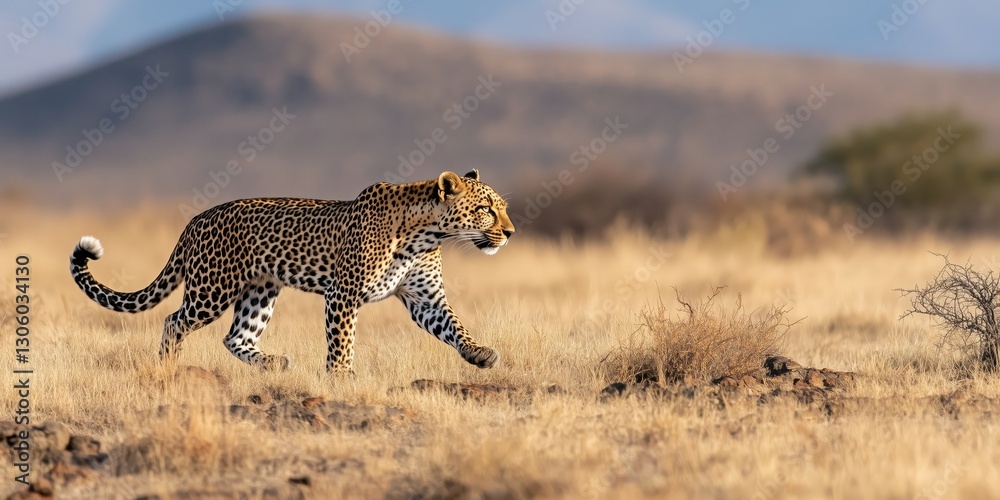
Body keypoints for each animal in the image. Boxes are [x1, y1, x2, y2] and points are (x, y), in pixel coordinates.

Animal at [69, 170, 514, 373]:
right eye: (485, 209)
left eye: (503, 207)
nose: (510, 232)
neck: (425, 233)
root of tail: (196, 219)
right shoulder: (343, 293)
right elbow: (342, 341)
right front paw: (342, 377)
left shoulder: (426, 299)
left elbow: (454, 326)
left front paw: (479, 353)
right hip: (212, 289)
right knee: (174, 320)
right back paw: (167, 366)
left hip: (260, 290)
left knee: (236, 336)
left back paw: (272, 364)